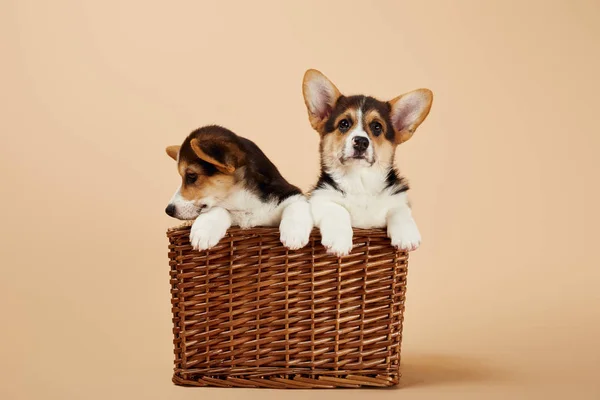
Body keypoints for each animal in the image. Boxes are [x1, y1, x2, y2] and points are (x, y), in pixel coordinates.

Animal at [165, 125, 314, 250]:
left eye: (191, 176)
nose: (168, 210)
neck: (244, 203)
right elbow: (218, 209)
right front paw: (204, 232)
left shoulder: (292, 194)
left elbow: (296, 205)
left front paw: (294, 234)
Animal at [302, 69, 434, 256]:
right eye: (344, 123)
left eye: (377, 127)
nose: (361, 142)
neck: (360, 182)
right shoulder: (319, 198)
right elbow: (337, 209)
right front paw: (338, 240)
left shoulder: (398, 199)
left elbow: (400, 210)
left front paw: (406, 235)